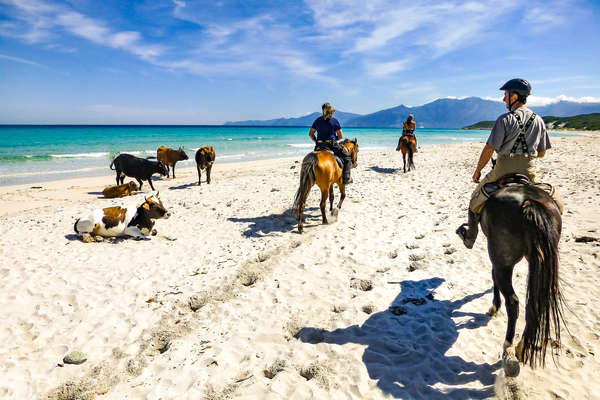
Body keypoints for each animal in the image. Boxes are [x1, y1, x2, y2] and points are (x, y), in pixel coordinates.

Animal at [480, 183, 564, 376]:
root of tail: (528, 203)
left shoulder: (496, 260)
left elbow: (493, 276)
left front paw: (494, 307)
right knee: (536, 304)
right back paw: (523, 347)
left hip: (503, 262)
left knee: (513, 302)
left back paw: (509, 346)